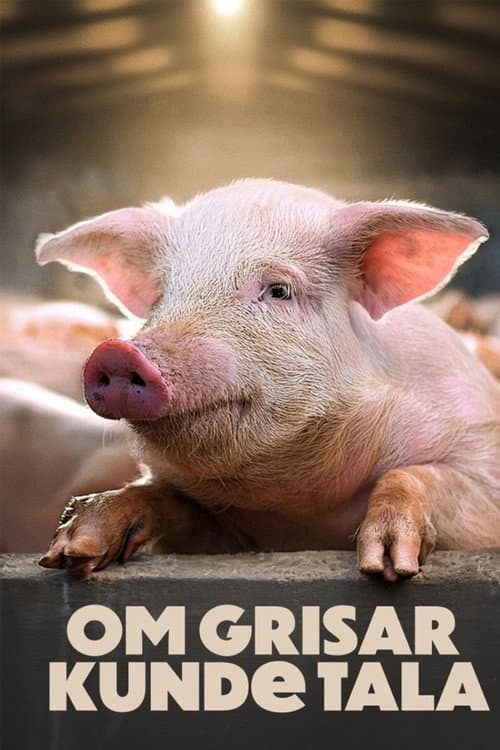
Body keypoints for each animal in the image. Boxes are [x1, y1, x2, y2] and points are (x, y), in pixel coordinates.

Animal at [34, 179, 500, 581]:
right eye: (163, 295)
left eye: (278, 290)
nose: (117, 352)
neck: (302, 512)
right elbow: (165, 499)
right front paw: (72, 549)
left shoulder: (481, 455)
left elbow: (414, 475)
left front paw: (387, 566)